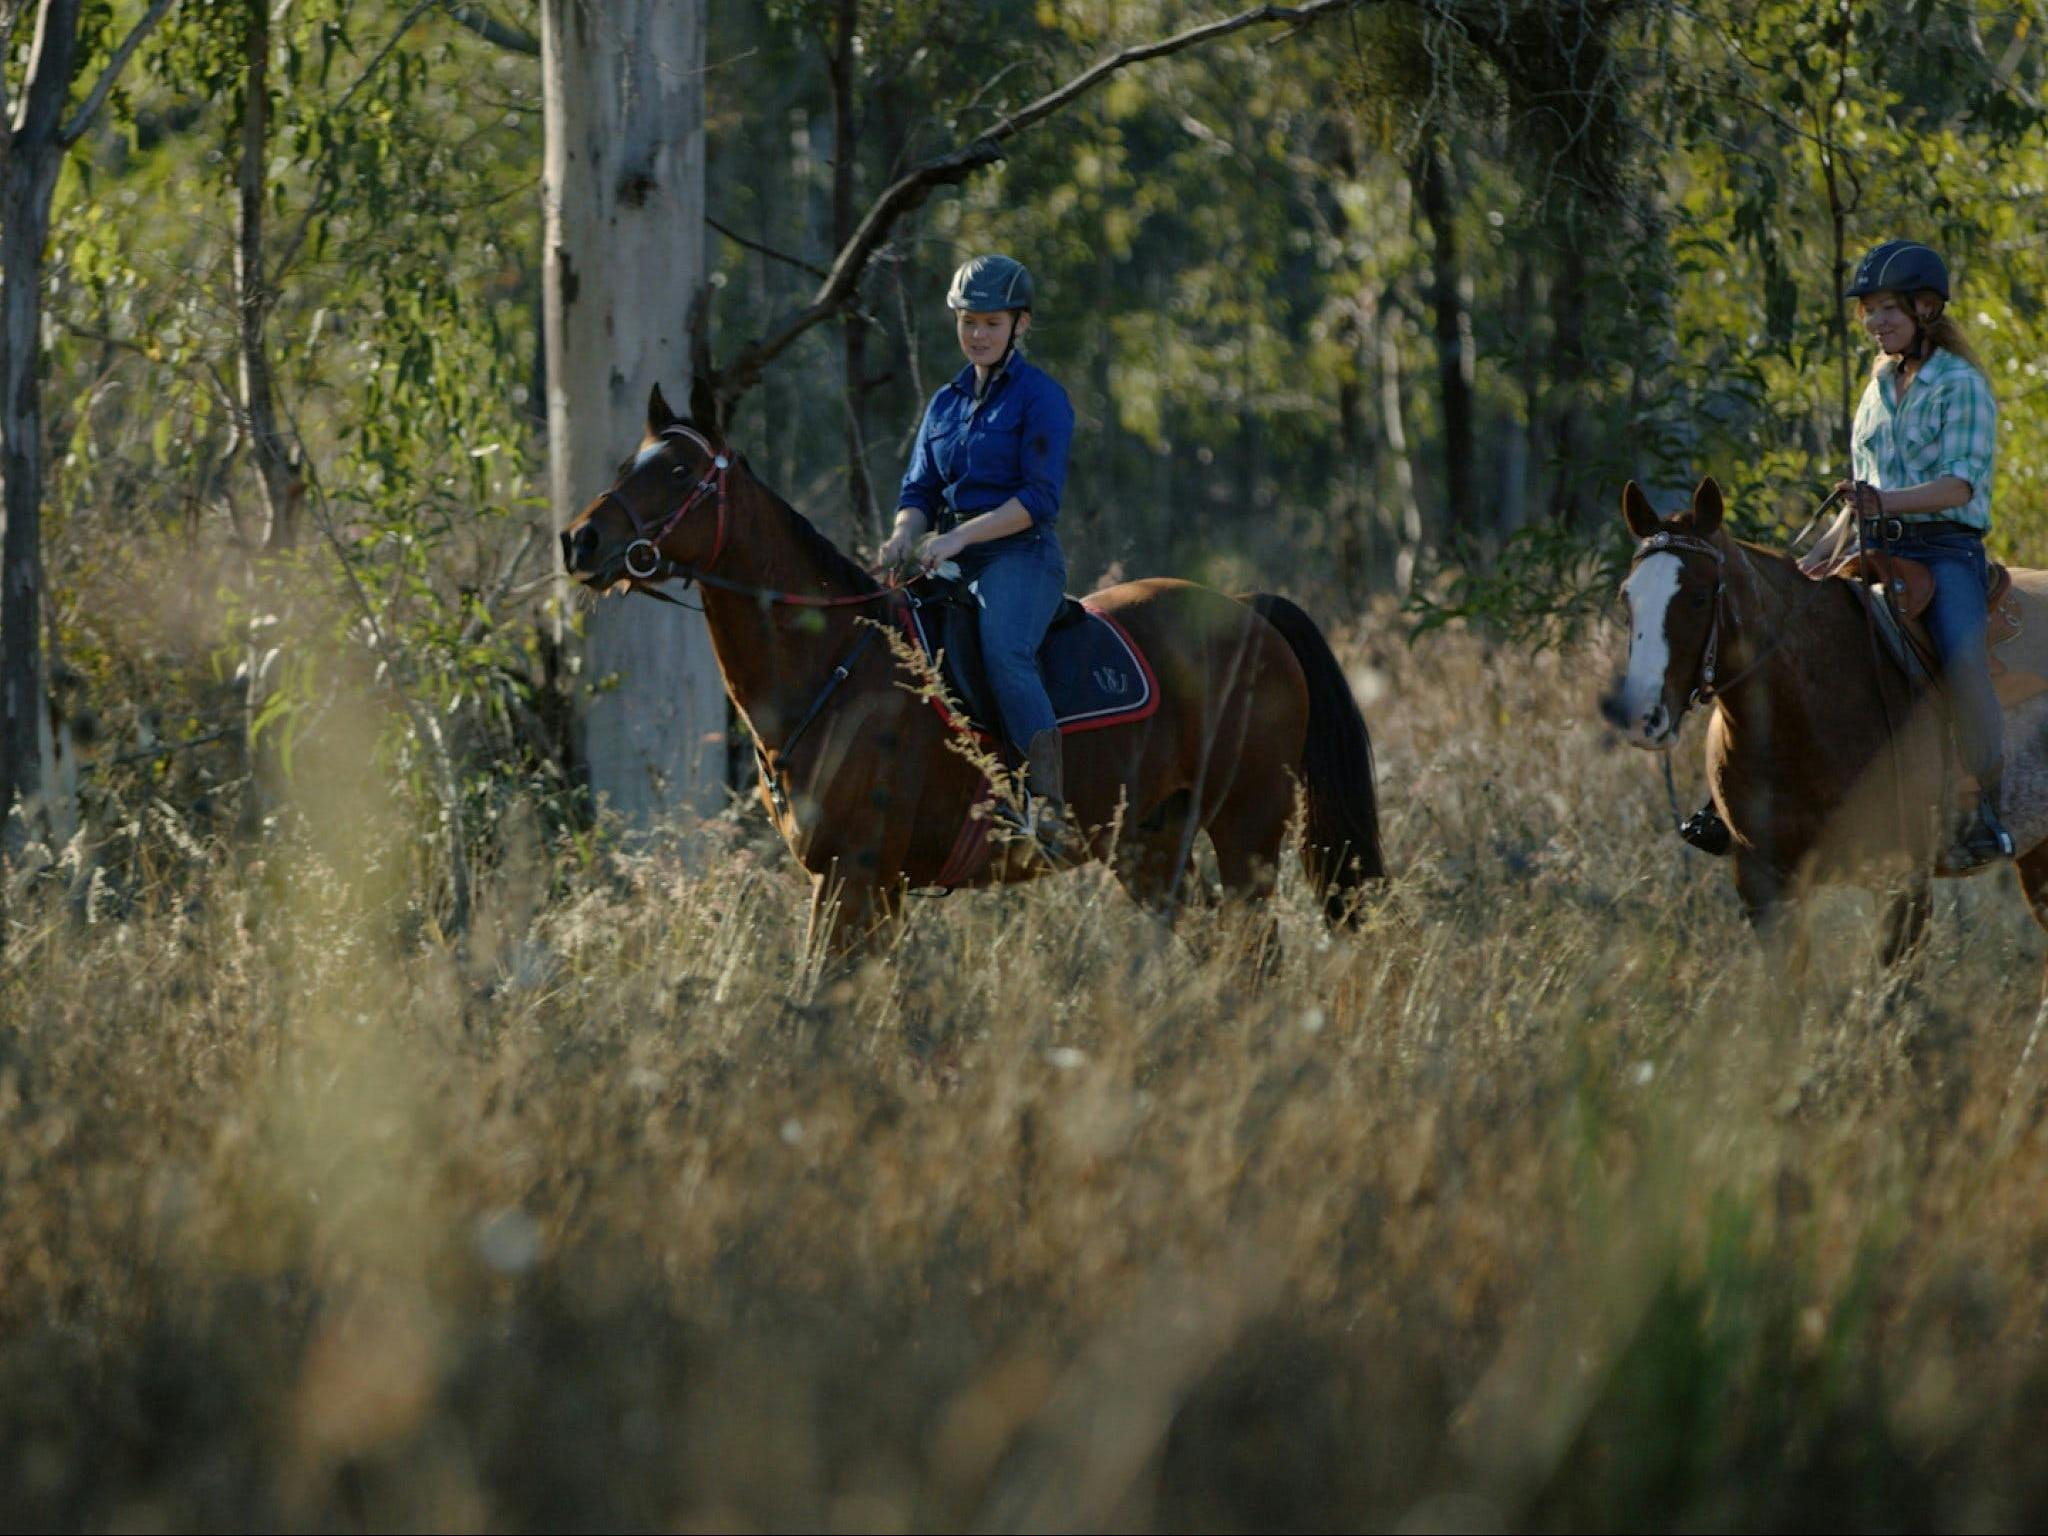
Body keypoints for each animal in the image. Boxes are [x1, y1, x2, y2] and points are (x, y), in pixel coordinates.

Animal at [558, 385, 1383, 955]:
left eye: (677, 470)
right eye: (628, 464)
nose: (579, 541)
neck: (834, 672)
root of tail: (1246, 610)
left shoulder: (854, 876)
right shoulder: (866, 885)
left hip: (1246, 828)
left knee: (1255, 952)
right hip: (1148, 845)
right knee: (1221, 950)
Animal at [1603, 475, 2048, 978]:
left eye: (1699, 597)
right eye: (1627, 597)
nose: (1643, 717)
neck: (1800, 722)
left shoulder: (1904, 879)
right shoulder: (1763, 882)